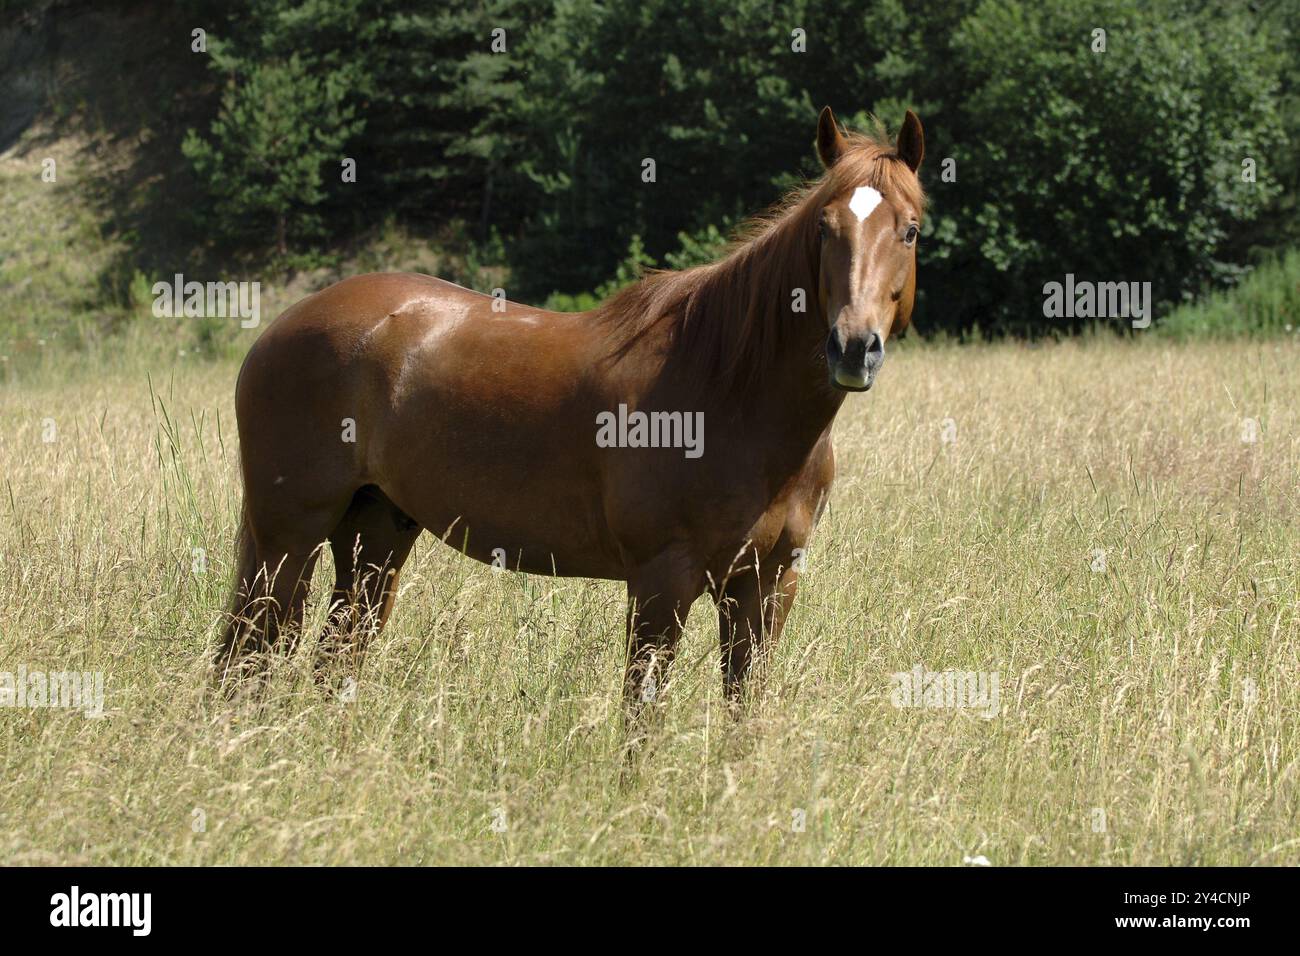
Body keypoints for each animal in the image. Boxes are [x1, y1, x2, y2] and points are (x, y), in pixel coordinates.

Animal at [215, 104, 925, 728]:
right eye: (824, 228)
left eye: (911, 229)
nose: (853, 347)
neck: (734, 395)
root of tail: (283, 325)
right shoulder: (663, 581)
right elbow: (641, 719)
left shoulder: (767, 585)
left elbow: (744, 714)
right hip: (287, 534)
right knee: (247, 656)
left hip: (375, 535)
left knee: (332, 658)